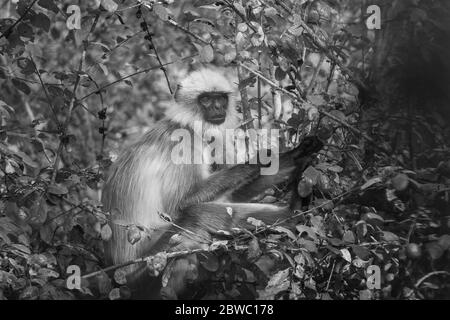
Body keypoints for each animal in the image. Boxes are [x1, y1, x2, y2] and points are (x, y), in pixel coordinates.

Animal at [102, 68, 322, 300]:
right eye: (206, 99)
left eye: (221, 99)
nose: (217, 108)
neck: (186, 124)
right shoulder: (183, 144)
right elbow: (181, 204)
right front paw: (260, 160)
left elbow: (233, 195)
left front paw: (297, 154)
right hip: (141, 271)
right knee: (196, 214)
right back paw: (294, 214)